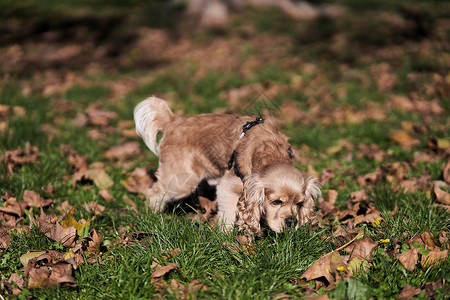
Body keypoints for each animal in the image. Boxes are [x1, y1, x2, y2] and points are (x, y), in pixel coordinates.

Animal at [134, 97, 320, 233]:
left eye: (299, 204)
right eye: (276, 202)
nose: (291, 221)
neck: (271, 151)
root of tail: (172, 121)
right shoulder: (228, 186)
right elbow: (229, 213)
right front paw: (225, 234)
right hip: (182, 181)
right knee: (154, 193)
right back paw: (155, 217)